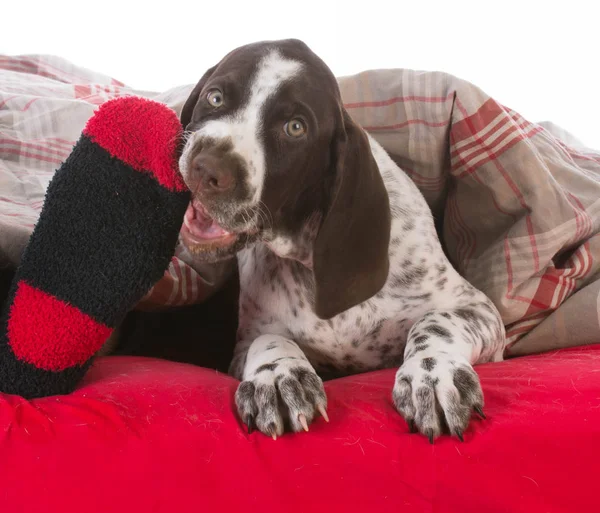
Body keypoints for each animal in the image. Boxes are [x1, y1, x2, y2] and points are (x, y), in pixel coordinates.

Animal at [176, 39, 504, 440]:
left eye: (295, 127)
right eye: (216, 97)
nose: (206, 168)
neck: (304, 255)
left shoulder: (479, 310)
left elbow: (434, 323)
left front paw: (432, 373)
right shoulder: (245, 342)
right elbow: (268, 339)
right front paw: (278, 375)